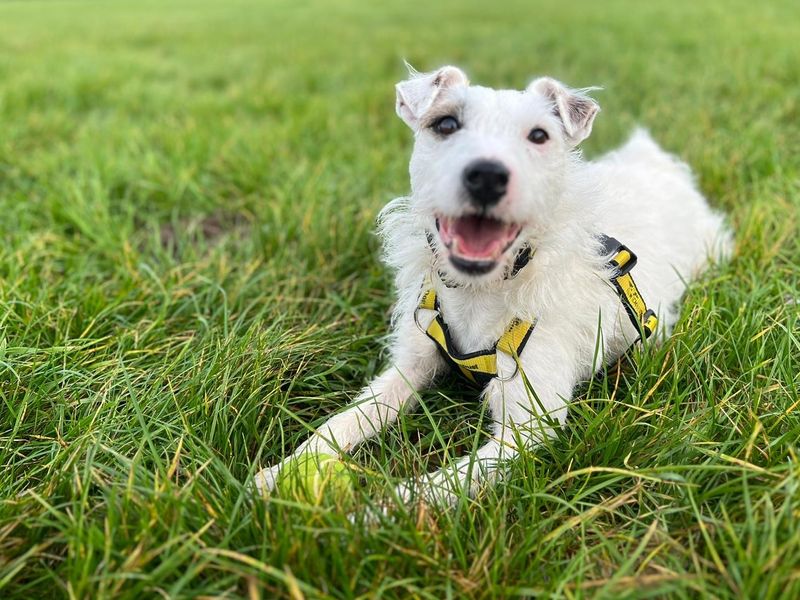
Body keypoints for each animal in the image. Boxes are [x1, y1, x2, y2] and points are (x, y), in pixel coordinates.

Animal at [255, 65, 732, 506]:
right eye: (445, 124)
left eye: (539, 136)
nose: (486, 175)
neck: (481, 294)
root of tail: (657, 163)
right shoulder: (409, 366)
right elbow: (343, 421)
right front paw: (278, 474)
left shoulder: (526, 429)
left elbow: (428, 490)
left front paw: (361, 519)